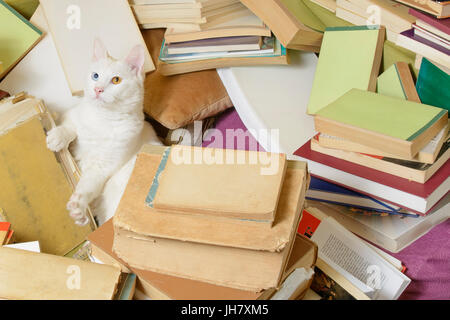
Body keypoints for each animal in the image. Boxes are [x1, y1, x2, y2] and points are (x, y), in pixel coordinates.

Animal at [47, 39, 162, 225]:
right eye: (95, 76)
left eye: (116, 80)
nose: (98, 89)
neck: (103, 118)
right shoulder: (72, 114)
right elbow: (70, 127)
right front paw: (57, 137)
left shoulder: (101, 168)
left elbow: (86, 187)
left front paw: (79, 207)